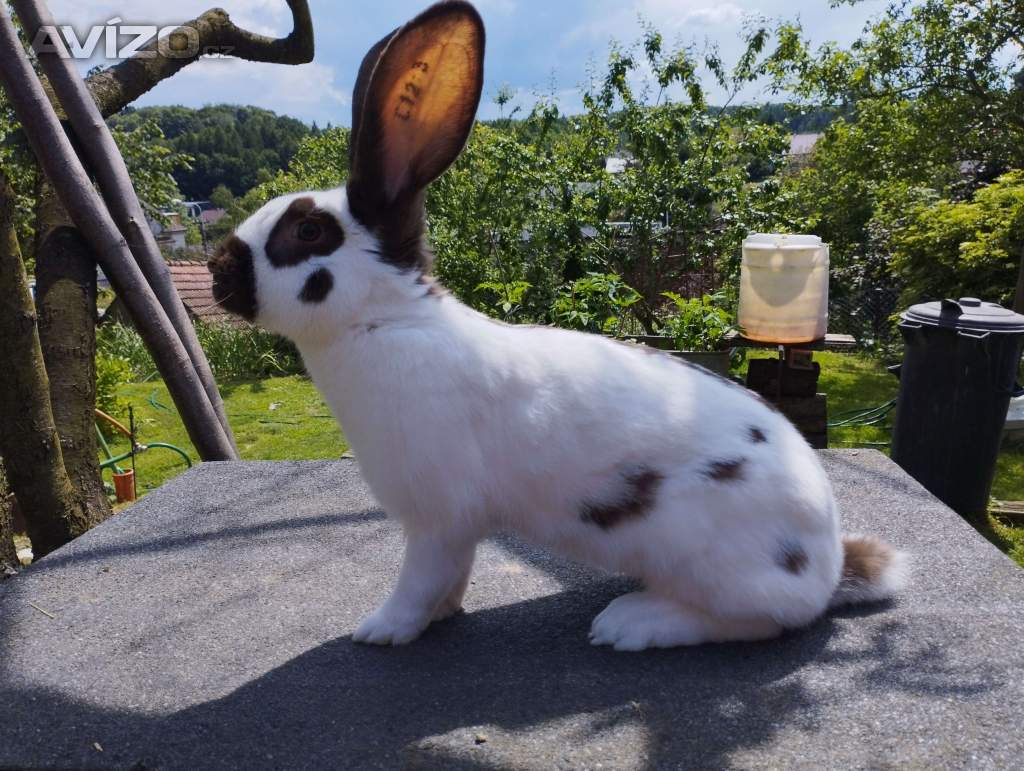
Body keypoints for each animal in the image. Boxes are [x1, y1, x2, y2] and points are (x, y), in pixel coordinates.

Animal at [207, 0, 905, 651]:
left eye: (306, 232)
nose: (217, 271)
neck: (384, 320)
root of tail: (826, 560)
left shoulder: (437, 519)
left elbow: (420, 578)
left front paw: (382, 630)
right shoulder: (455, 529)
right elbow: (452, 579)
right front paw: (442, 616)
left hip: (715, 559)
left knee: (766, 619)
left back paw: (632, 623)